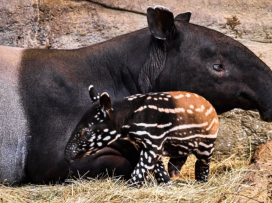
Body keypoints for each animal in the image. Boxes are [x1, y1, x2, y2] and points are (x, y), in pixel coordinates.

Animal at [65, 85, 219, 186]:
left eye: (87, 132)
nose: (67, 156)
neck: (128, 116)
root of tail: (212, 107)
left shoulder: (154, 140)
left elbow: (141, 170)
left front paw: (131, 186)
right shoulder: (144, 143)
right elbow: (157, 168)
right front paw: (166, 184)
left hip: (206, 142)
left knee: (203, 162)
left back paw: (201, 181)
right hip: (181, 142)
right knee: (180, 154)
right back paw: (174, 172)